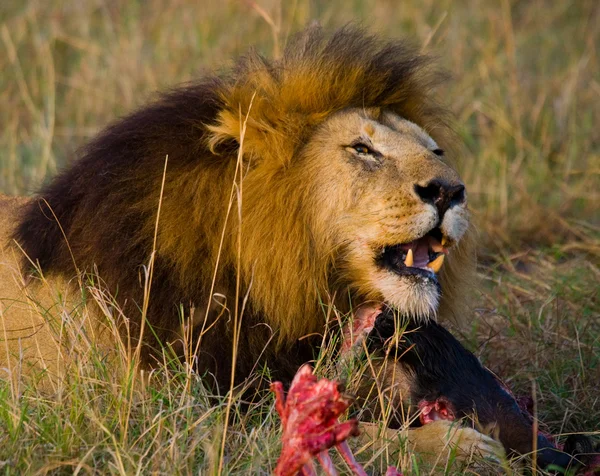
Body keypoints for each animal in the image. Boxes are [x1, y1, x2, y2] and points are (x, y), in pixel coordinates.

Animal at [0, 26, 502, 464]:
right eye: (362, 150)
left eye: (436, 151)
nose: (450, 191)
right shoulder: (174, 420)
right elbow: (345, 436)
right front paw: (461, 447)